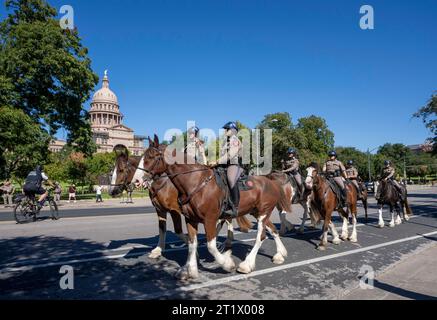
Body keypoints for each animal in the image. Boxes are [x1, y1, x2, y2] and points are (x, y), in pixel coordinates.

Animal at [141, 135, 292, 280]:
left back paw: (246, 265)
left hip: (263, 213)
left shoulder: (210, 219)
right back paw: (280, 254)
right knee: (273, 230)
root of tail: (270, 181)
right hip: (258, 213)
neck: (195, 182)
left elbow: (211, 246)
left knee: (260, 236)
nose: (140, 179)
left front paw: (227, 263)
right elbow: (192, 244)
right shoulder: (190, 219)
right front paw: (189, 270)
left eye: (151, 156)